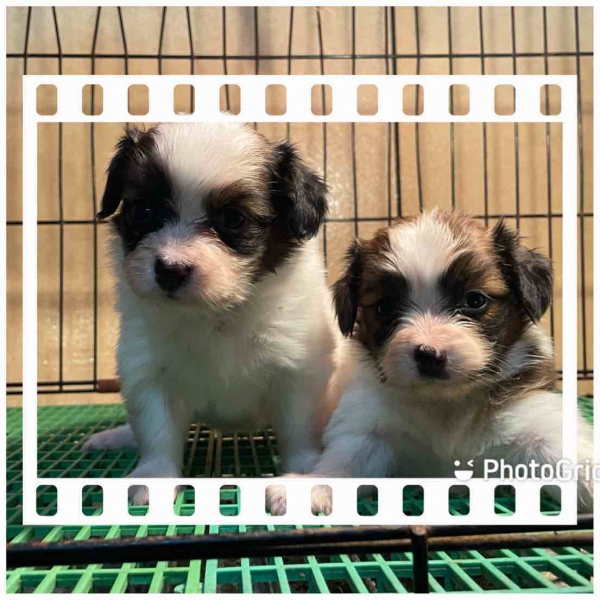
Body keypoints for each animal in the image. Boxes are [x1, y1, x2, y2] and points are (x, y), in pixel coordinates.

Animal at [83, 122, 337, 504]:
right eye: (143, 212)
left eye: (233, 219)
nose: (170, 270)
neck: (217, 313)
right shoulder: (148, 369)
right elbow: (157, 429)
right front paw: (154, 476)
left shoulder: (299, 370)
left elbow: (299, 427)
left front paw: (305, 474)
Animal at [268, 210, 593, 516]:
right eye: (384, 308)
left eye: (475, 300)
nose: (428, 354)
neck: (445, 404)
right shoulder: (370, 430)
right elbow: (343, 463)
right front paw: (313, 484)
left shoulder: (536, 423)